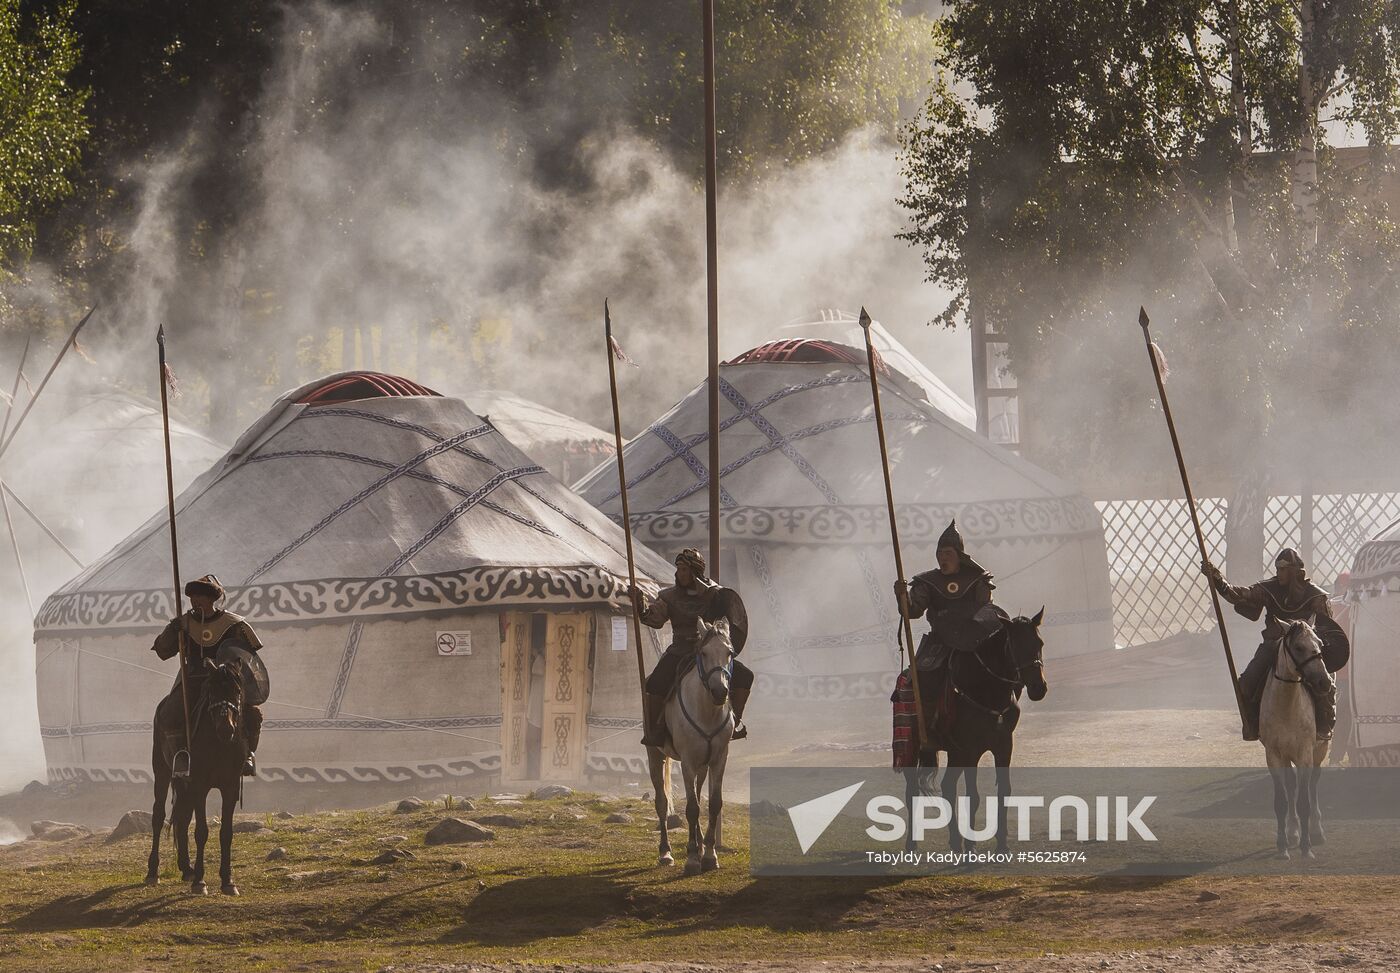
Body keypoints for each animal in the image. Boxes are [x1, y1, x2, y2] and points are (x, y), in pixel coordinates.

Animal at [146, 658, 250, 896]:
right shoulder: (200, 786)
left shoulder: (230, 787)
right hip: (162, 770)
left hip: (184, 783)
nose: (226, 728)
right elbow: (202, 832)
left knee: (183, 817)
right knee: (158, 815)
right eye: (211, 690)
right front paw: (201, 882)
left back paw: (186, 868)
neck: (219, 744)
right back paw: (153, 872)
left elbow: (226, 833)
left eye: (237, 690)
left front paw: (228, 881)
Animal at [644, 621, 733, 879]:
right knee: (662, 802)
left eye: (729, 653)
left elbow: (713, 804)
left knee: (699, 792)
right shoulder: (687, 762)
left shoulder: (718, 760)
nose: (720, 692)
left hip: (702, 766)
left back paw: (701, 843)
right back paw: (665, 852)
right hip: (655, 756)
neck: (707, 710)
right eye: (703, 653)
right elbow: (692, 808)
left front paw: (710, 855)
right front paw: (693, 858)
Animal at [1260, 624, 1332, 862]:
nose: (1325, 682)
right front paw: (1282, 846)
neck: (1287, 707)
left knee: (1312, 784)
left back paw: (1316, 831)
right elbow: (1281, 802)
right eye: (1299, 647)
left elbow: (1304, 803)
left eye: (1320, 643)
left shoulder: (1305, 755)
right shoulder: (1273, 756)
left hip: (1319, 751)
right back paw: (1292, 832)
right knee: (1292, 786)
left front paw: (1306, 848)